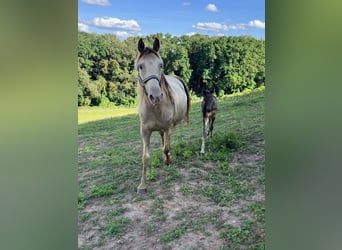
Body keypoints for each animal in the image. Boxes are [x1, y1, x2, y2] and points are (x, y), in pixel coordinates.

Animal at [136, 38, 190, 194]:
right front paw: (142, 185)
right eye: (140, 66)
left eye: (160, 65)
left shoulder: (169, 128)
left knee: (166, 143)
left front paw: (168, 160)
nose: (156, 96)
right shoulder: (145, 131)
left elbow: (166, 148)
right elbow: (145, 157)